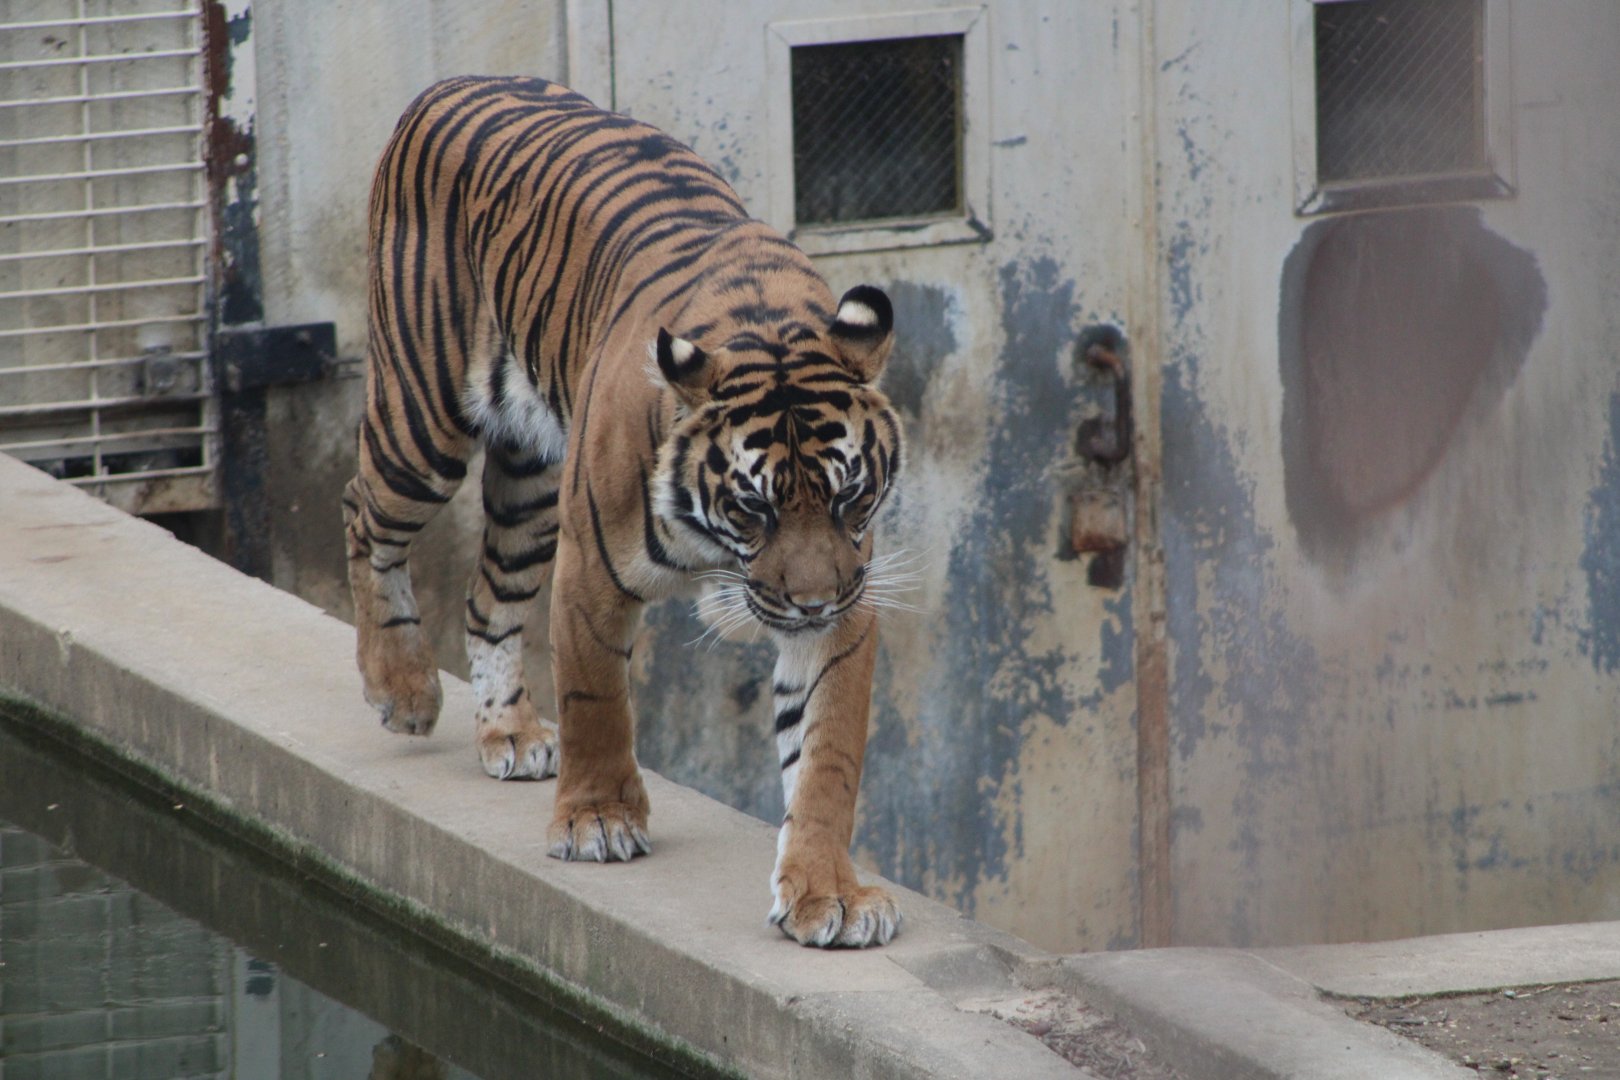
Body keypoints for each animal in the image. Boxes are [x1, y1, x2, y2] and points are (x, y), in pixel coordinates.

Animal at [341, 76, 905, 947]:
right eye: (755, 508)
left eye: (848, 496)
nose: (811, 603)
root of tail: (448, 84)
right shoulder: (591, 571)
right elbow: (596, 698)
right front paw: (598, 820)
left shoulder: (849, 601)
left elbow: (826, 755)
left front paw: (827, 892)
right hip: (422, 423)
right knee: (363, 513)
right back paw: (401, 686)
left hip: (533, 483)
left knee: (487, 599)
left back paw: (509, 731)